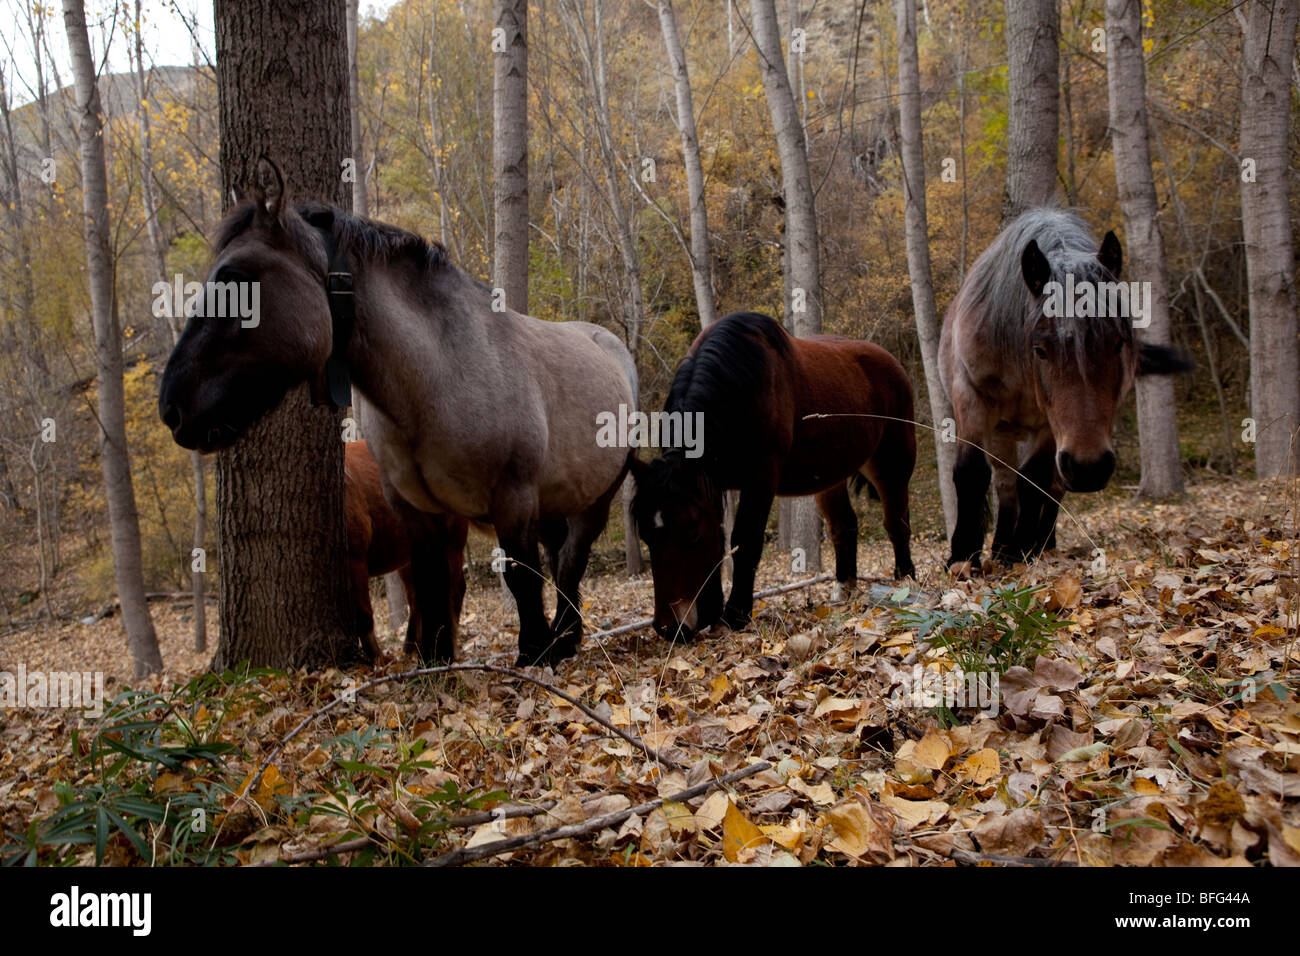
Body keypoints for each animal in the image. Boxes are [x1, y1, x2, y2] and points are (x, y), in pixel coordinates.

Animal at [343, 439, 470, 658]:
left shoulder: (355, 557)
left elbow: (363, 615)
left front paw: (377, 658)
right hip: (411, 553)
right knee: (417, 596)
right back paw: (411, 646)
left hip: (452, 541)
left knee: (454, 589)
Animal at [629, 314, 915, 642]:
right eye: (646, 536)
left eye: (691, 533)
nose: (669, 628)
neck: (740, 383)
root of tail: (892, 363)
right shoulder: (711, 485)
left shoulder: (761, 478)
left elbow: (745, 540)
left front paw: (735, 614)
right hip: (832, 477)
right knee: (844, 525)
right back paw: (843, 589)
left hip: (892, 463)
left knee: (896, 522)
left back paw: (905, 581)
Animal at [941, 208, 1190, 567]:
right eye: (1041, 348)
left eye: (1118, 343)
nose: (1089, 467)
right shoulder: (971, 397)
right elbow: (971, 474)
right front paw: (962, 556)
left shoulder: (1051, 427)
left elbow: (1034, 480)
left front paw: (1020, 551)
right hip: (1003, 432)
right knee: (1004, 482)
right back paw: (999, 547)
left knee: (1050, 488)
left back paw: (1039, 544)